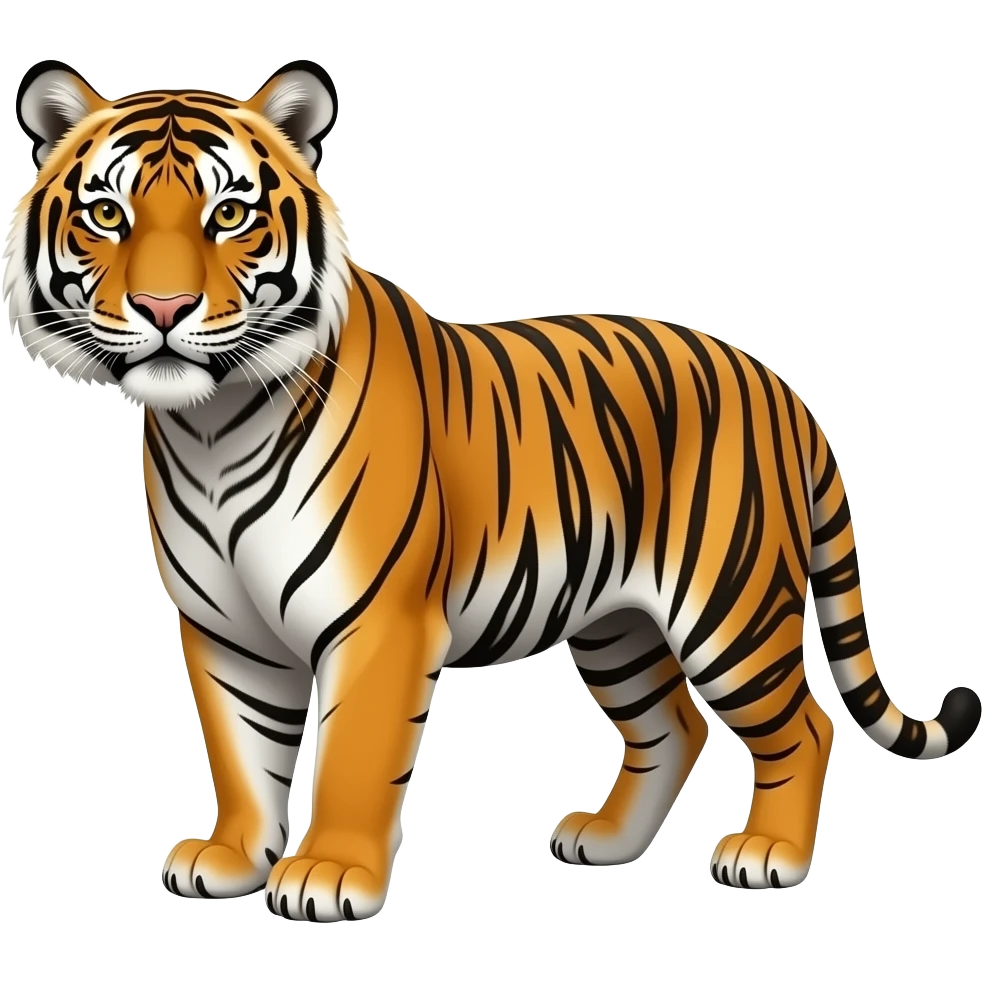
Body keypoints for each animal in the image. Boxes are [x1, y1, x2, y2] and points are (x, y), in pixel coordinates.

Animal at [4, 57, 979, 922]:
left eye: (230, 214)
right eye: (107, 213)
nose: (164, 311)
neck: (210, 424)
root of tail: (780, 386)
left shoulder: (379, 620)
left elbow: (353, 754)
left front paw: (327, 874)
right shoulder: (224, 628)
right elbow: (241, 749)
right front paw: (233, 856)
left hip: (729, 608)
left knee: (804, 724)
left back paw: (767, 854)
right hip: (615, 623)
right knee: (672, 726)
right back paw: (606, 841)